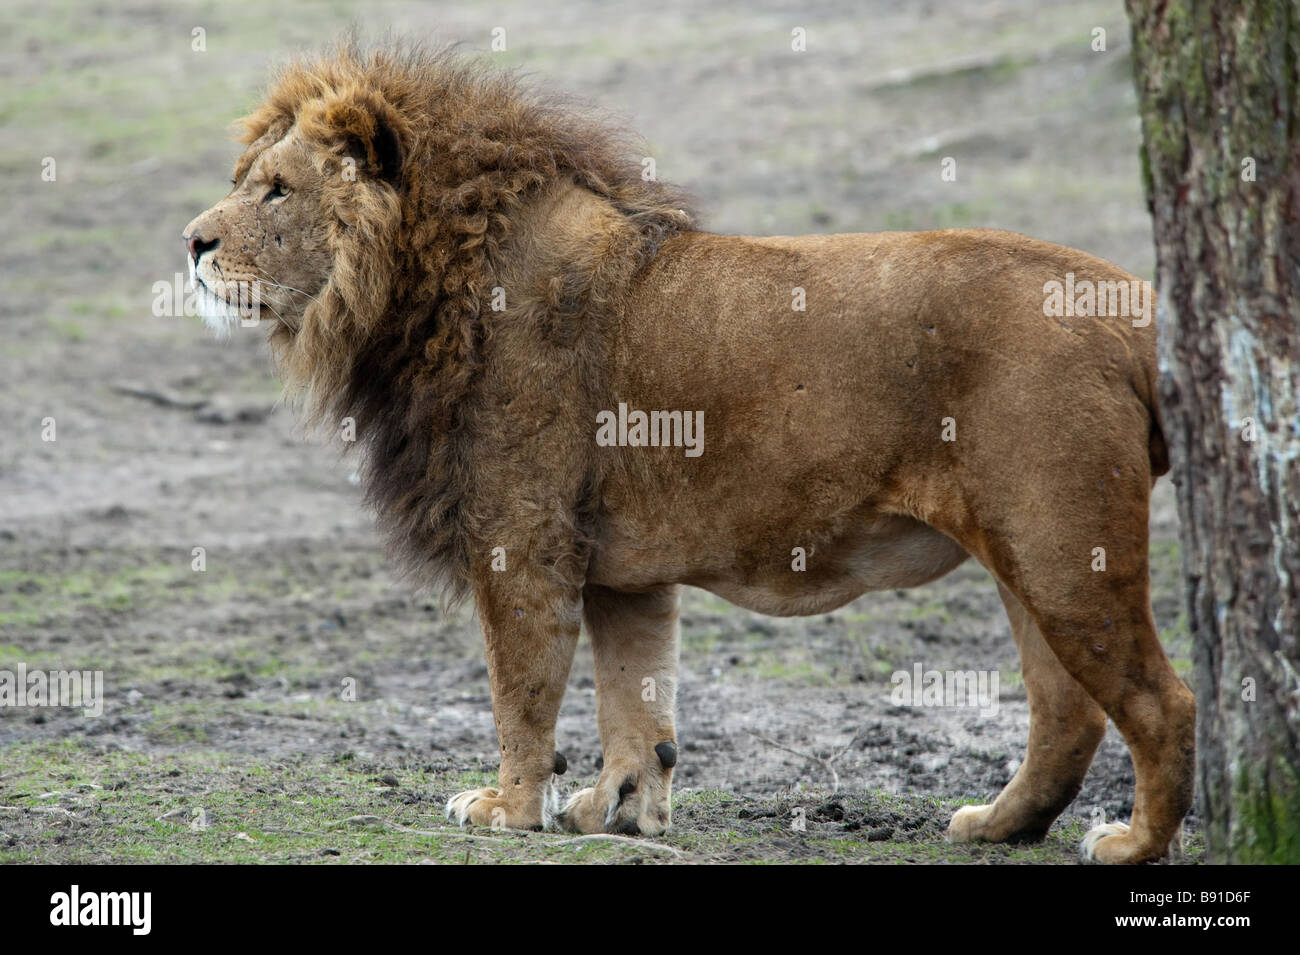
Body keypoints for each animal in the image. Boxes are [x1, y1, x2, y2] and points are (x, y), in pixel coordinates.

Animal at [185, 41, 1196, 867]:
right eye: (248, 177)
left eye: (276, 189)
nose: (192, 242)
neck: (419, 289)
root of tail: (1133, 304)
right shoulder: (621, 570)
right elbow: (637, 699)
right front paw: (620, 809)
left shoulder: (523, 537)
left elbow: (524, 687)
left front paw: (509, 808)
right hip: (1030, 551)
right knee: (1066, 709)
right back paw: (998, 824)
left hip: (1063, 547)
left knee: (1163, 701)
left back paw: (1133, 842)